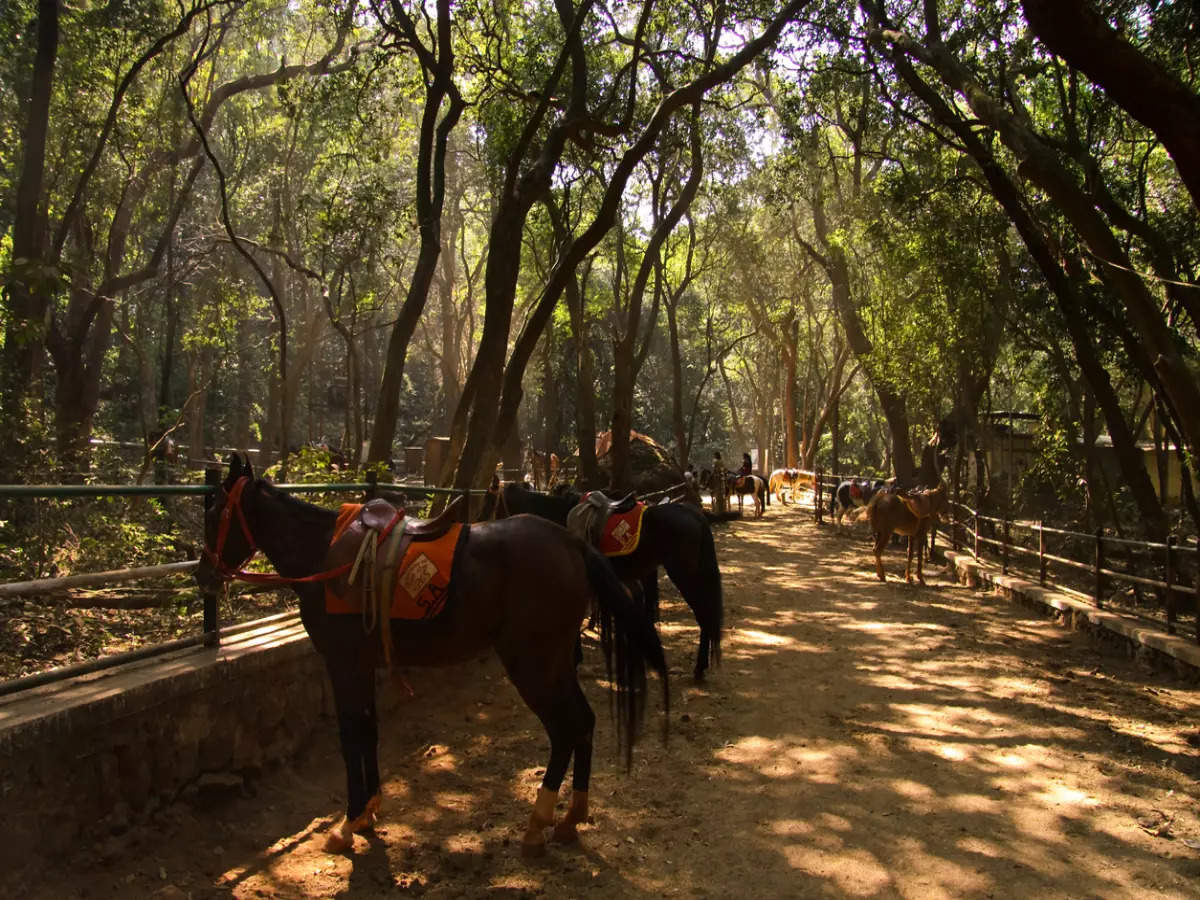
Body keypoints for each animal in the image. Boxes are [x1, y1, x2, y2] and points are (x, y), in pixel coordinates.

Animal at [195, 458, 667, 859]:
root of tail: (571, 544)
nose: (203, 574)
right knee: (584, 721)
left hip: (533, 664)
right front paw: (369, 811)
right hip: (555, 661)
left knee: (565, 728)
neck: (324, 555)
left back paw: (538, 823)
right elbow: (368, 730)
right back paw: (571, 817)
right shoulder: (363, 664)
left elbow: (350, 737)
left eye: (214, 511)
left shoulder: (342, 663)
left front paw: (347, 824)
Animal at [484, 482, 720, 681]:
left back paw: (699, 668)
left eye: (492, 505)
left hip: (684, 574)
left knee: (704, 614)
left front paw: (576, 658)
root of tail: (694, 514)